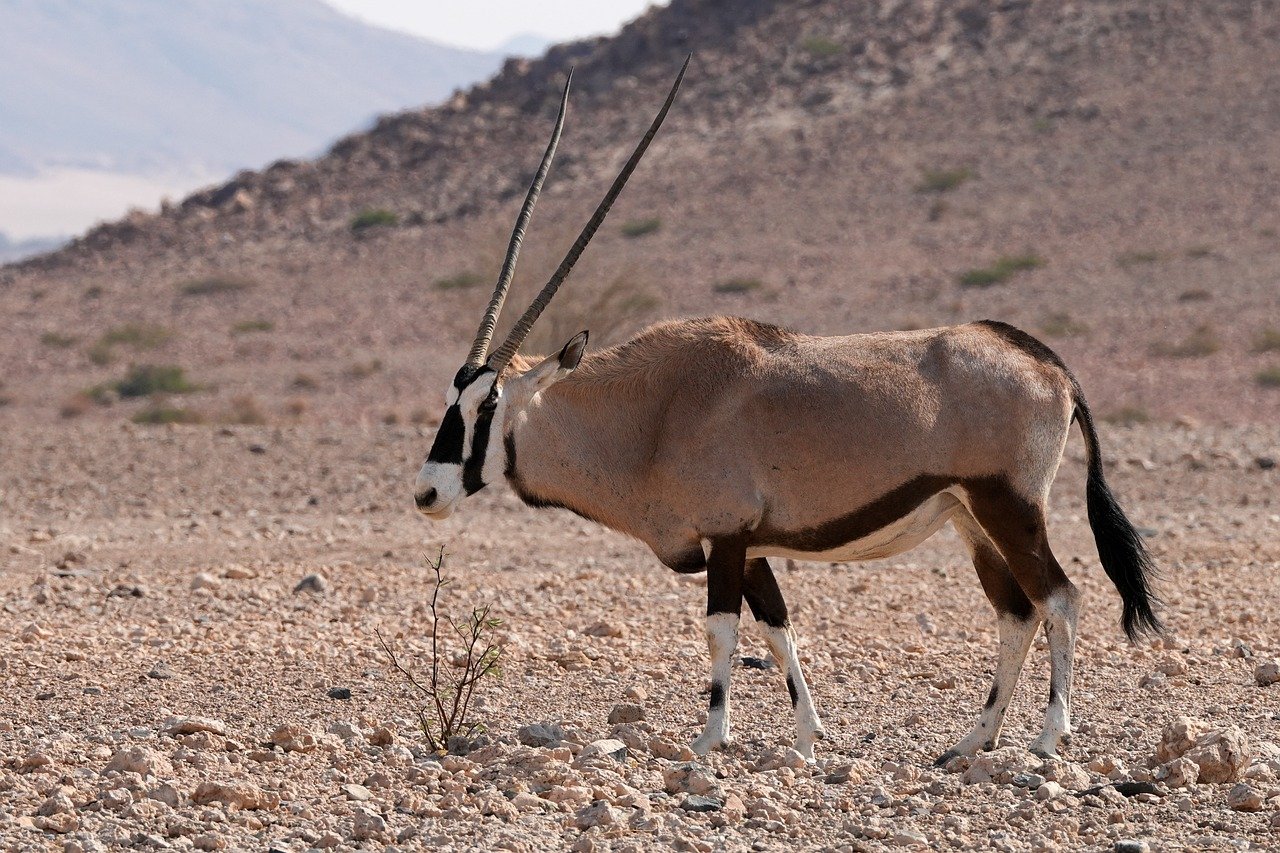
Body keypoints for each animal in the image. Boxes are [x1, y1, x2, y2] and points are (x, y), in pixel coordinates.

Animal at [413, 60, 1161, 763]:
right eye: (451, 397)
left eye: (489, 403)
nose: (427, 492)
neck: (653, 413)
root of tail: (1046, 363)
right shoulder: (750, 547)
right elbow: (778, 630)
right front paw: (806, 739)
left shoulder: (726, 537)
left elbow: (722, 632)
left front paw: (710, 739)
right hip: (970, 517)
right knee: (1016, 612)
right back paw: (973, 741)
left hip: (1009, 506)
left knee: (1060, 598)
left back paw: (1048, 736)